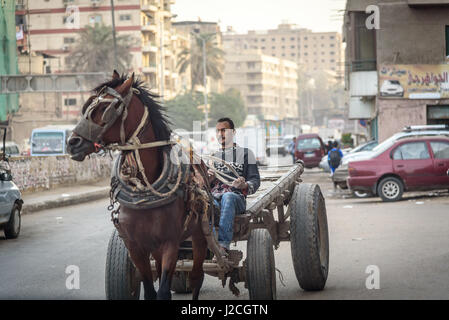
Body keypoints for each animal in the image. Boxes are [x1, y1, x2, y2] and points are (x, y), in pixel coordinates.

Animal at [67, 70, 214, 300]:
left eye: (105, 109)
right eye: (88, 105)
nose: (72, 143)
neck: (147, 186)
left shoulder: (170, 243)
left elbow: (163, 291)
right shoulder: (135, 246)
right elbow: (150, 290)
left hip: (199, 234)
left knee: (196, 277)